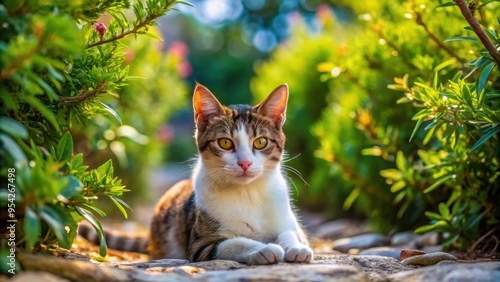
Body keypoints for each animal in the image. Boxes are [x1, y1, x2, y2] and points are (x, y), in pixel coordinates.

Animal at [79, 83, 312, 264]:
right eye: (225, 143)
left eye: (261, 142)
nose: (245, 163)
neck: (247, 193)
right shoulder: (201, 245)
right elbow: (232, 243)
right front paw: (264, 248)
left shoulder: (289, 219)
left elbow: (291, 232)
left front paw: (296, 247)